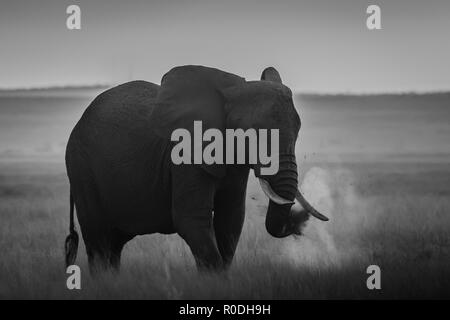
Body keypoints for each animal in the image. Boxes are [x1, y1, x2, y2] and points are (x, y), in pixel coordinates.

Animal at [64, 64, 326, 272]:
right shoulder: (184, 154)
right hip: (81, 168)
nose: (298, 223)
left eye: (298, 129)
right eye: (251, 134)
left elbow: (231, 220)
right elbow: (192, 220)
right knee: (98, 240)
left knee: (114, 245)